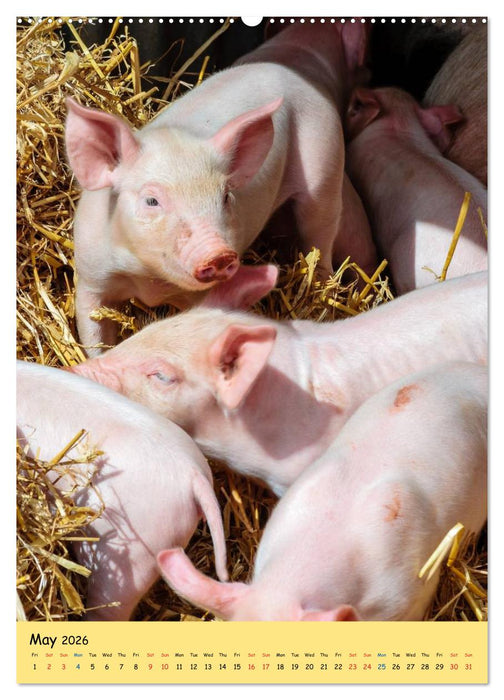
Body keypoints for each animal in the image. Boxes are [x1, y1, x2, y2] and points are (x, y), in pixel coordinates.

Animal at [65, 21, 376, 356]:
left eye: (225, 197)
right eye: (151, 200)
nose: (218, 253)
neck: (148, 279)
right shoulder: (90, 277)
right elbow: (93, 334)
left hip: (324, 161)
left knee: (319, 236)